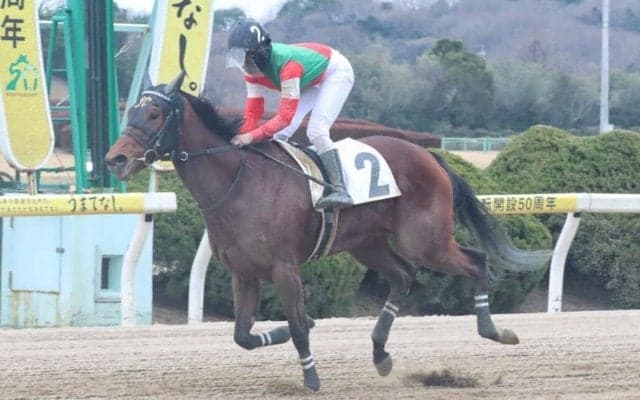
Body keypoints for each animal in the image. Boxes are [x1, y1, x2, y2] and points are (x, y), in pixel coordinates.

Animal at [105, 73, 550, 392]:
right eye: (130, 112)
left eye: (154, 114)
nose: (115, 159)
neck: (238, 180)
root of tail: (430, 155)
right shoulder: (243, 272)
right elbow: (243, 335)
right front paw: (288, 332)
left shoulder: (284, 268)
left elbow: (299, 328)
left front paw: (312, 377)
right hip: (369, 244)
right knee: (403, 276)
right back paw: (380, 353)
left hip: (426, 241)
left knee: (476, 262)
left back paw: (494, 330)